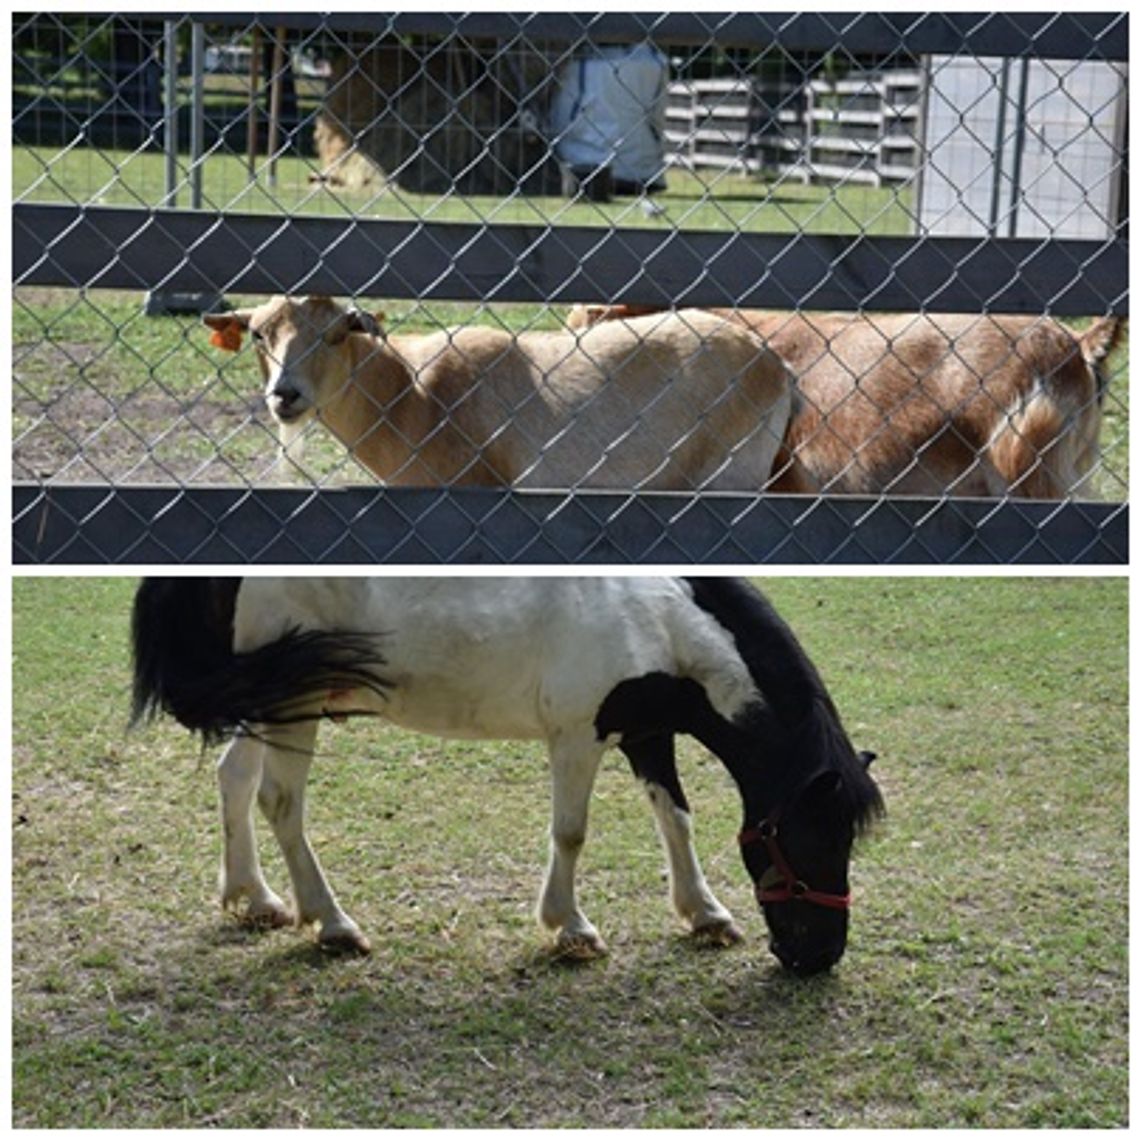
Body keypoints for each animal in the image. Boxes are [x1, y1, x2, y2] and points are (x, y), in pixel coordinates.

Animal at [131, 574, 880, 975]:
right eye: (814, 840)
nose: (818, 956)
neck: (659, 614)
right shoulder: (578, 735)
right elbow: (572, 833)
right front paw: (571, 928)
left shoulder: (647, 733)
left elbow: (676, 820)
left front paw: (705, 914)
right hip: (293, 704)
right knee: (281, 802)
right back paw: (334, 924)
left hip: (265, 699)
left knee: (233, 779)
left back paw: (255, 899)